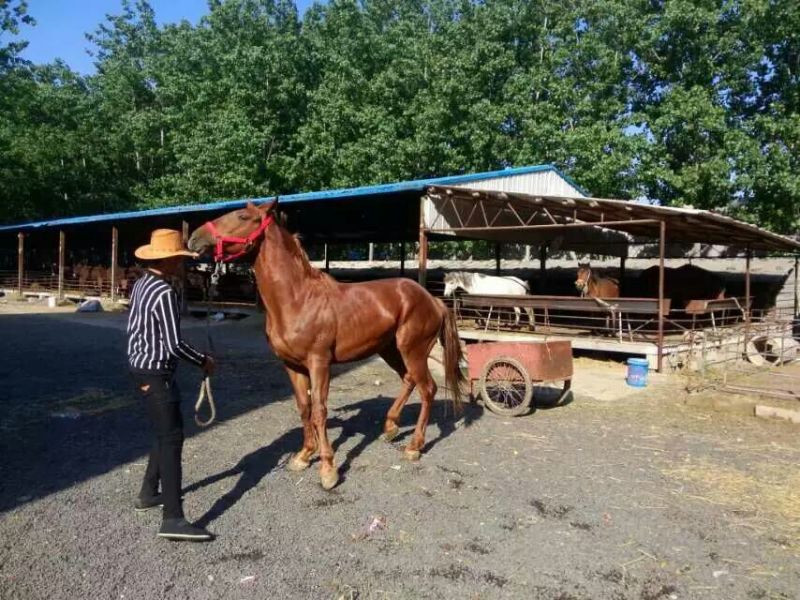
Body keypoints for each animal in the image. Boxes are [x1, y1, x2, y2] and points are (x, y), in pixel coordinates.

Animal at [188, 200, 465, 490]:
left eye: (243, 216)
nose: (194, 237)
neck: (297, 299)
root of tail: (433, 300)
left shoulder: (319, 363)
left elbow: (319, 410)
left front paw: (328, 469)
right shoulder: (292, 366)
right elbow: (304, 408)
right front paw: (303, 455)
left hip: (413, 350)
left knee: (428, 389)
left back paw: (414, 447)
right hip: (389, 349)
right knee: (409, 380)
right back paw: (390, 428)